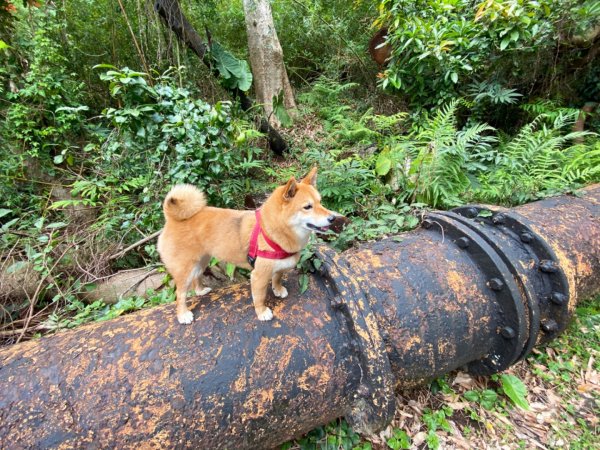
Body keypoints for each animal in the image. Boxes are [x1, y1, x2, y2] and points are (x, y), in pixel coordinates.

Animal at [158, 167, 338, 326]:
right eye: (307, 207)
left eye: (320, 202)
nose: (333, 218)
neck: (270, 231)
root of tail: (171, 219)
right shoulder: (258, 275)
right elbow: (259, 297)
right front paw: (262, 312)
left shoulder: (279, 267)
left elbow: (277, 278)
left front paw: (278, 289)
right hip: (185, 269)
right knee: (180, 293)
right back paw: (183, 315)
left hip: (202, 261)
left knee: (196, 279)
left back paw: (201, 290)